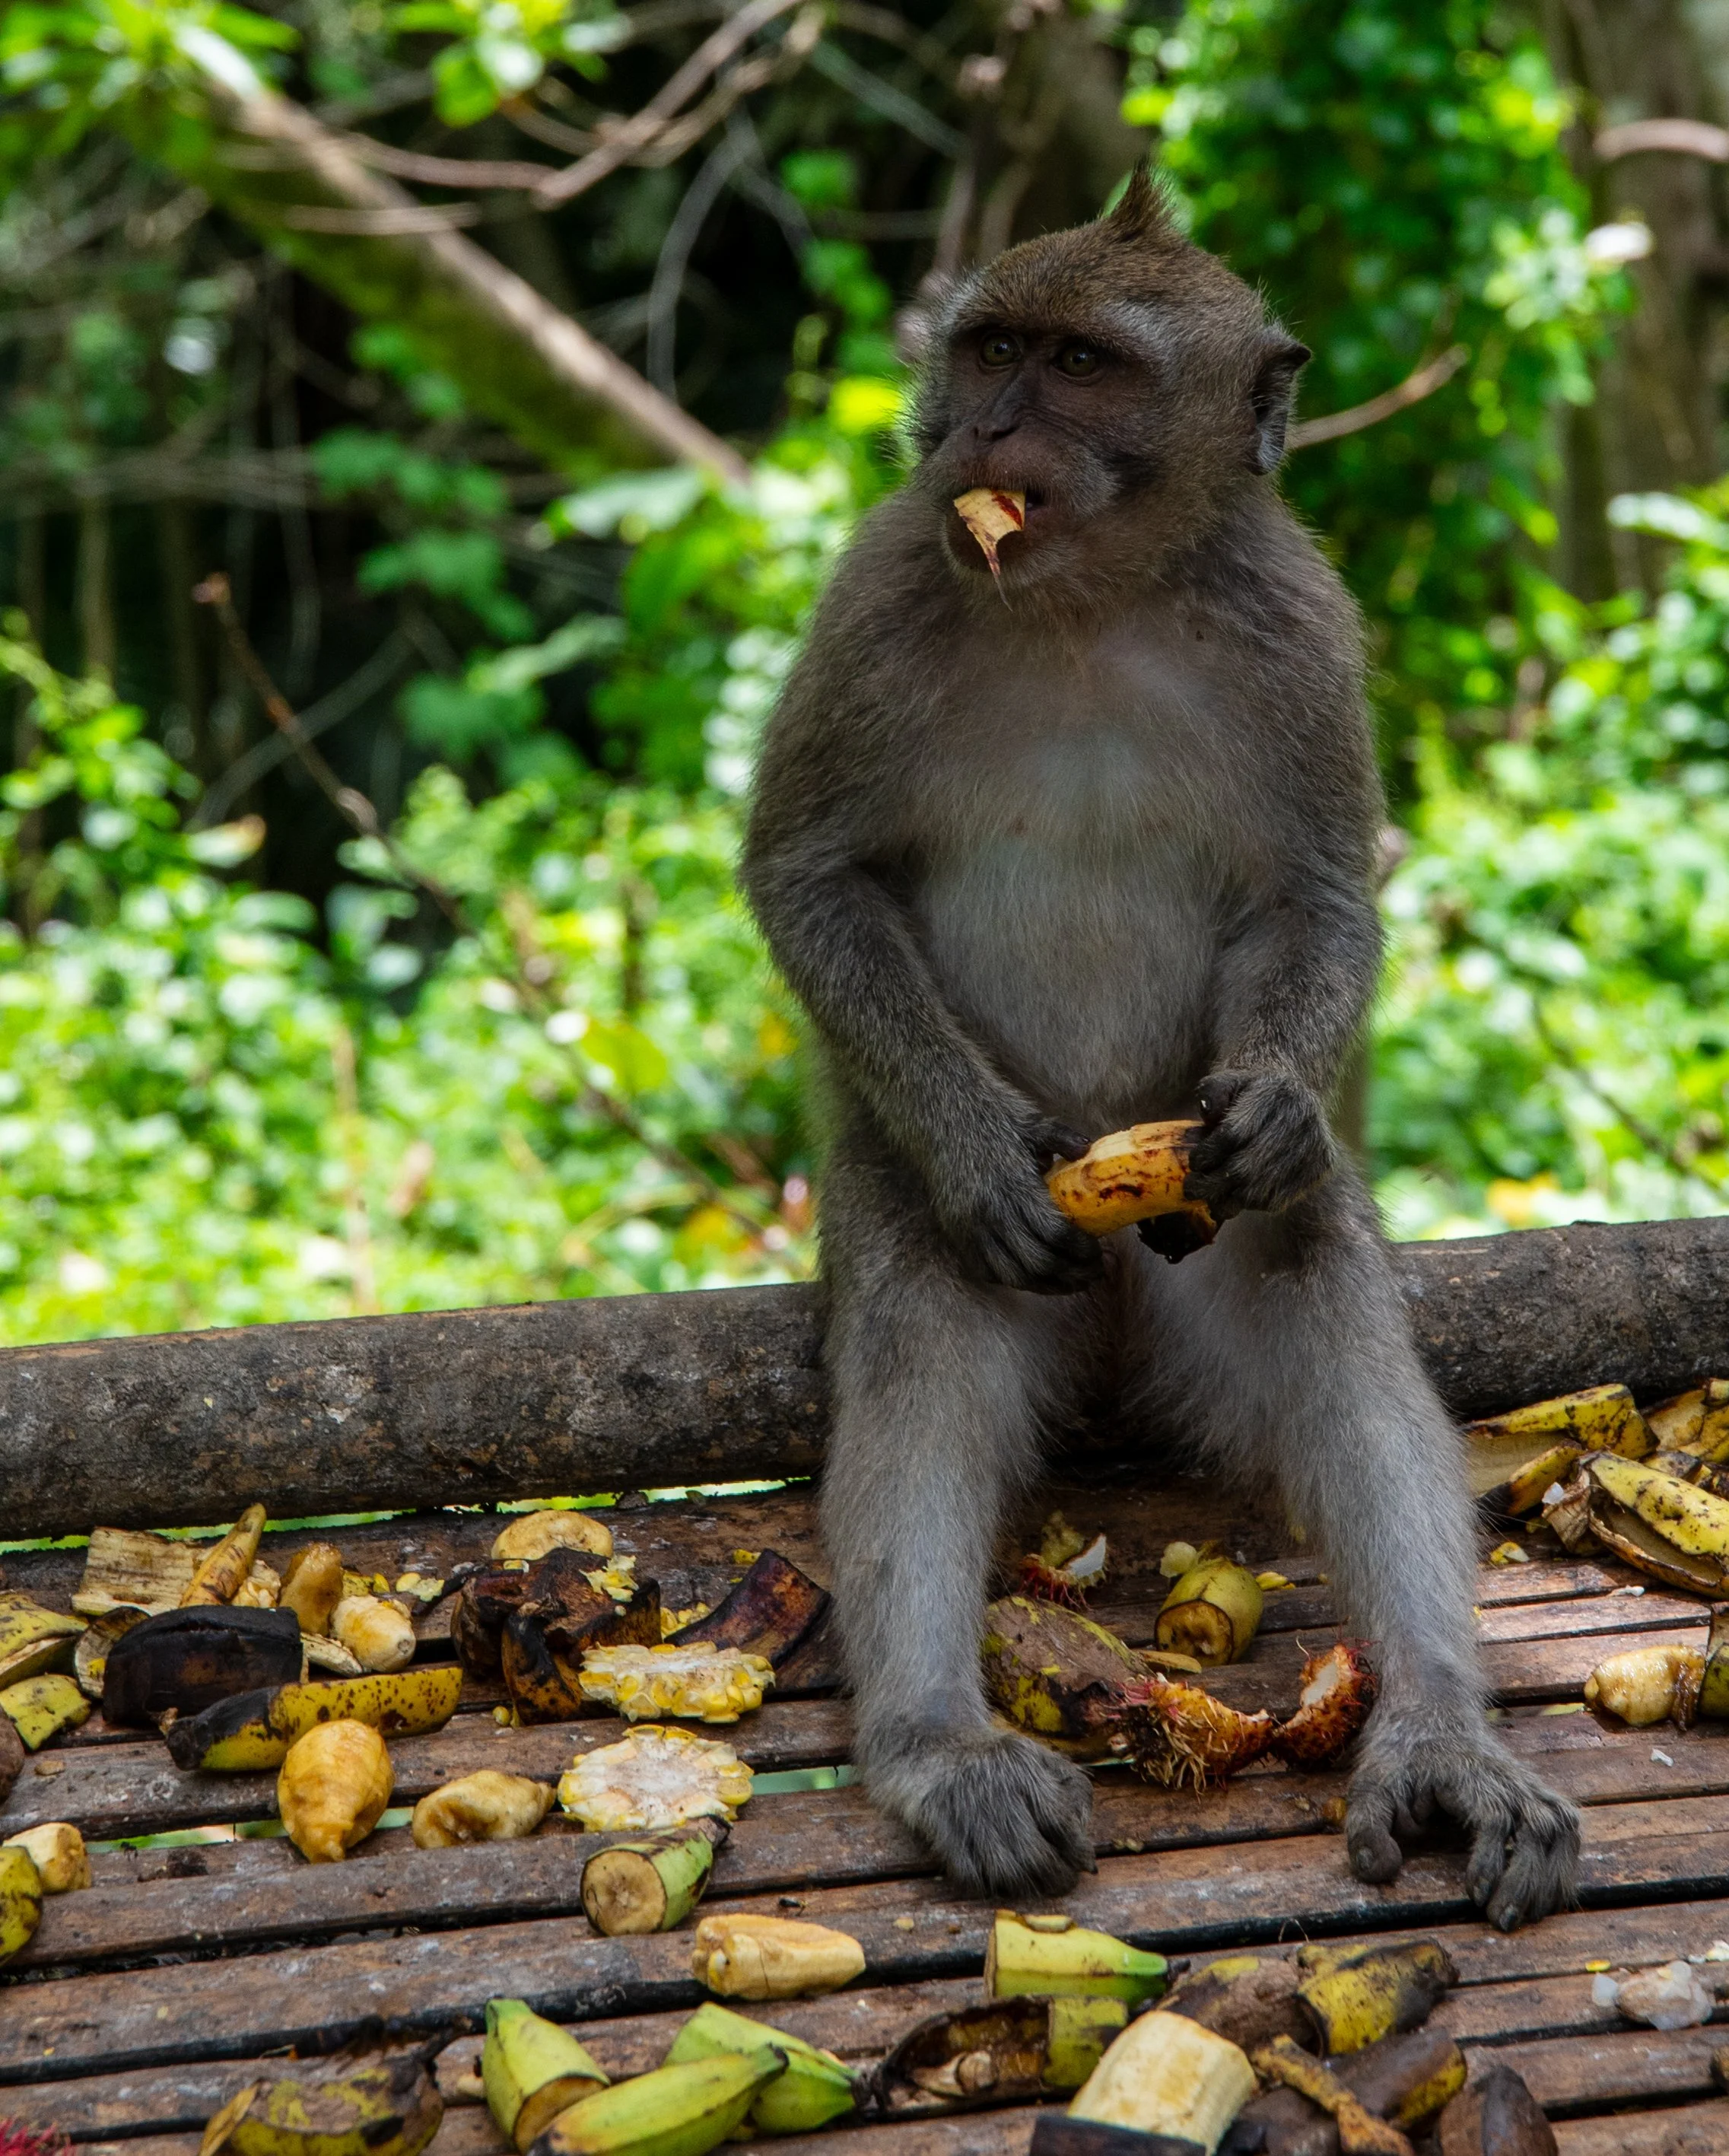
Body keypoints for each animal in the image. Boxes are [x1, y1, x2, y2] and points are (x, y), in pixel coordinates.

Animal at [740, 170, 1580, 1930]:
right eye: (990, 346)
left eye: (1080, 363)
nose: (985, 427)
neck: (1090, 597)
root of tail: (1119, 1329)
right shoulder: (881, 580)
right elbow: (807, 872)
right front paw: (980, 1153)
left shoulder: (1298, 623)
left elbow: (1316, 893)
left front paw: (1275, 1107)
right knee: (921, 1327)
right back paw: (940, 1744)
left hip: (1196, 1257)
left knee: (1309, 1273)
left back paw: (1436, 1728)